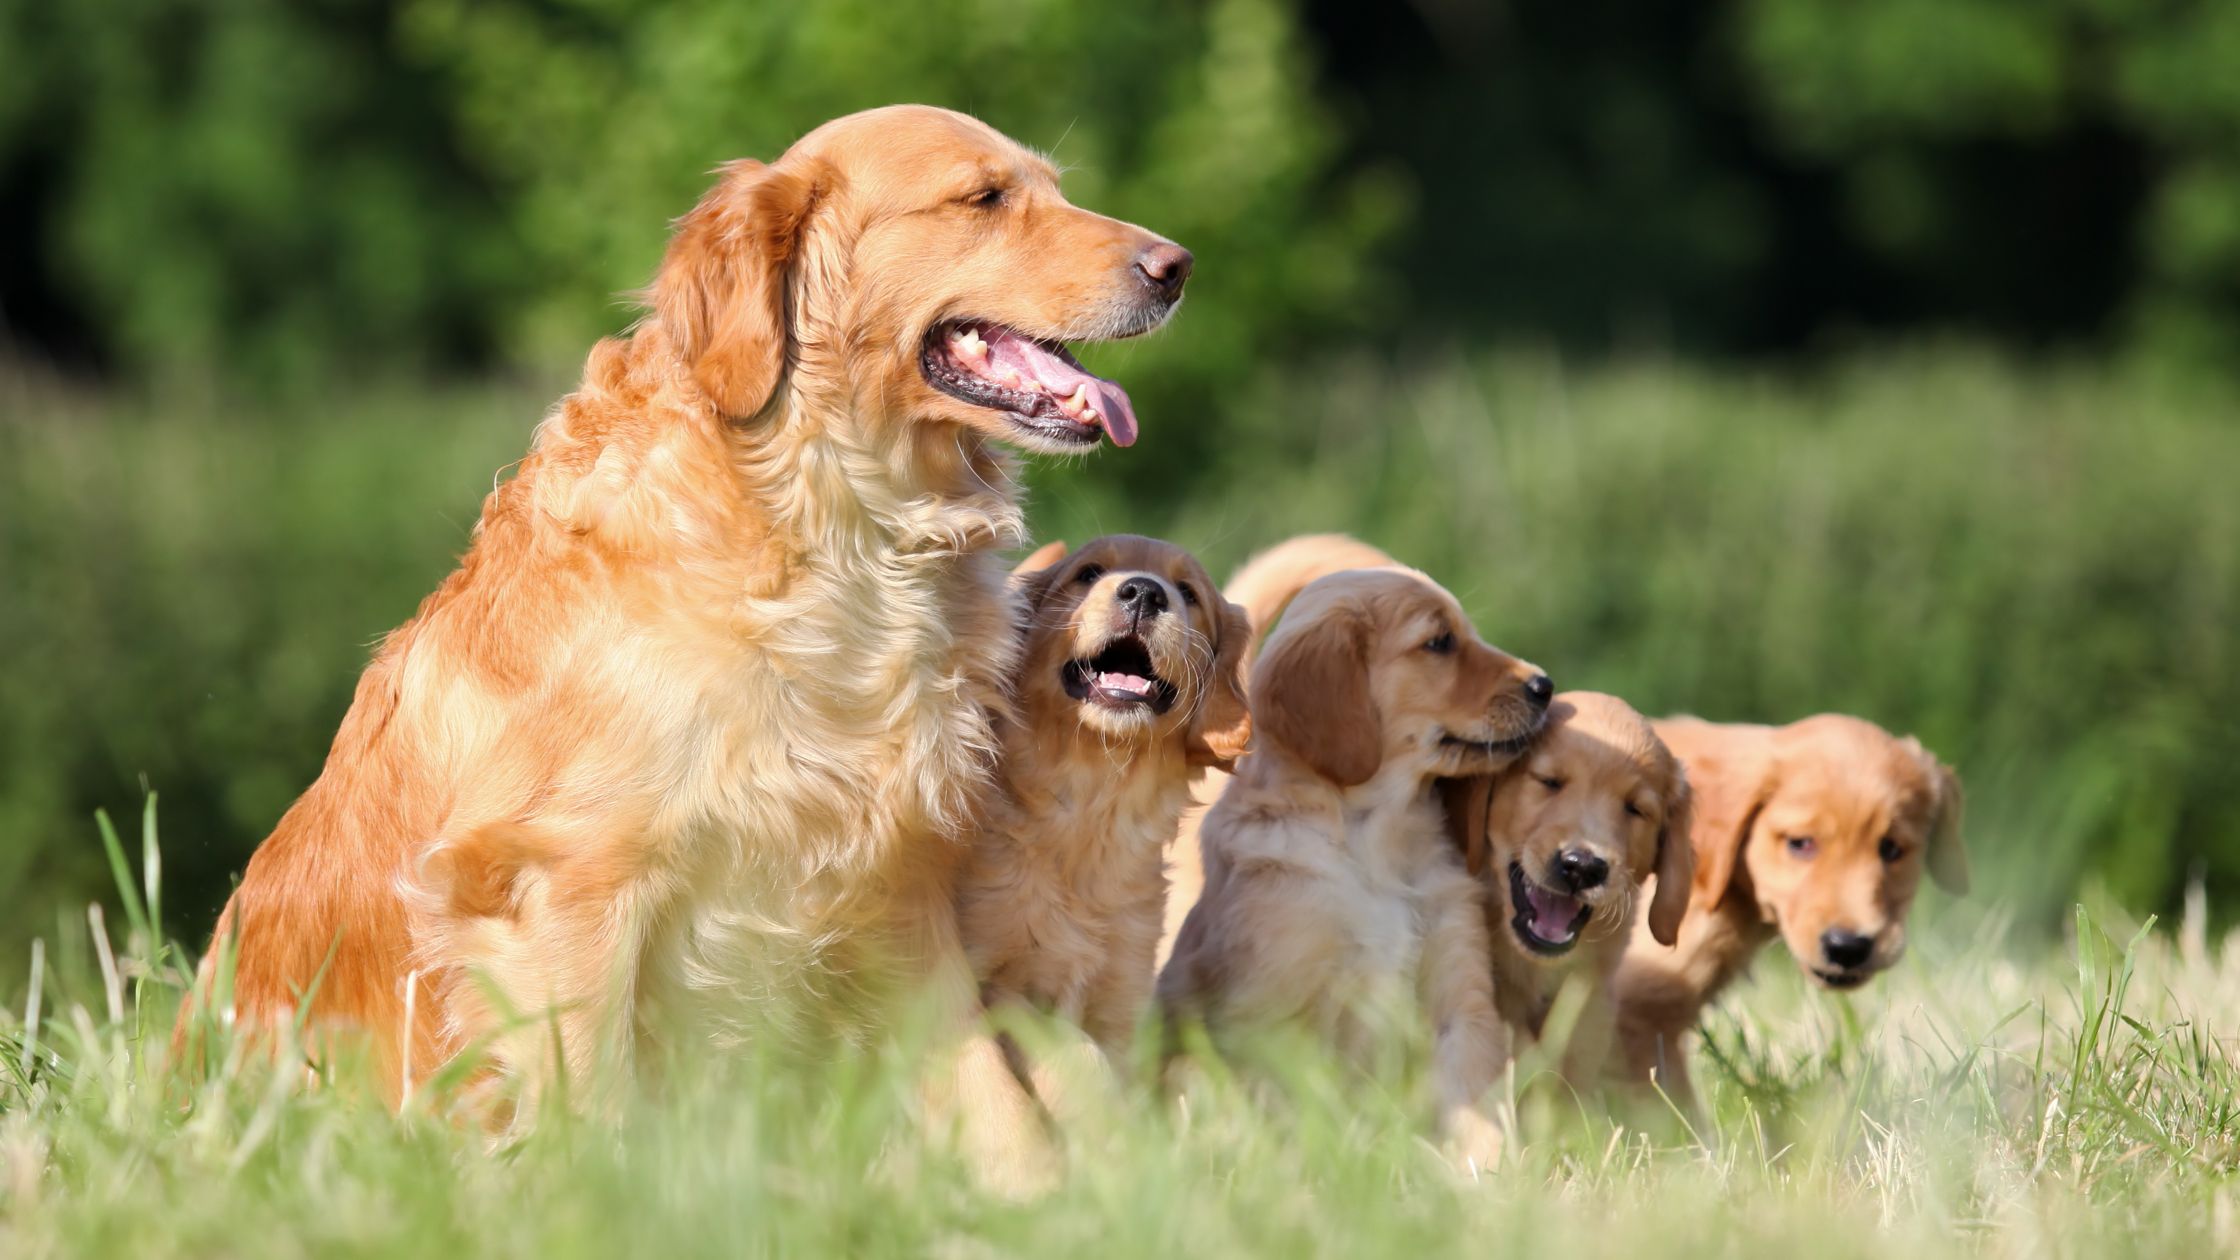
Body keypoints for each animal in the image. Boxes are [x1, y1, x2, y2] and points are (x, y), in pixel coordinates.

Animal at [179, 103, 1191, 1183]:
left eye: (1051, 187)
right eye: (984, 197)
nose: (1176, 265)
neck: (837, 527)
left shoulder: (900, 886)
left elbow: (989, 1090)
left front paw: (1035, 1196)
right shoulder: (570, 886)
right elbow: (594, 1100)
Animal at [954, 533, 1254, 1112]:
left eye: (1188, 592)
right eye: (1088, 573)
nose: (1144, 593)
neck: (1095, 801)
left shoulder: (1123, 997)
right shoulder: (993, 981)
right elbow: (1070, 1050)